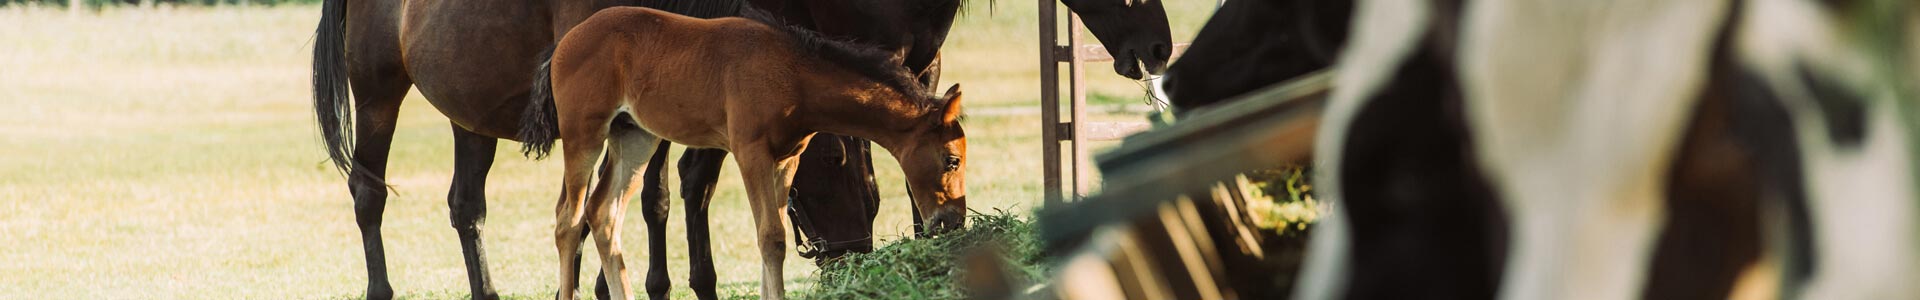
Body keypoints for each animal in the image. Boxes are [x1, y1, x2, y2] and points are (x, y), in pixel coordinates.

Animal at [522, 7, 967, 300]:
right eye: (952, 160)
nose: (952, 221)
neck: (792, 72)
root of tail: (564, 43)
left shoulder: (786, 159)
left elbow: (774, 236)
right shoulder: (750, 151)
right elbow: (771, 236)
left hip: (635, 139)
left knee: (603, 214)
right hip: (584, 135)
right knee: (568, 219)